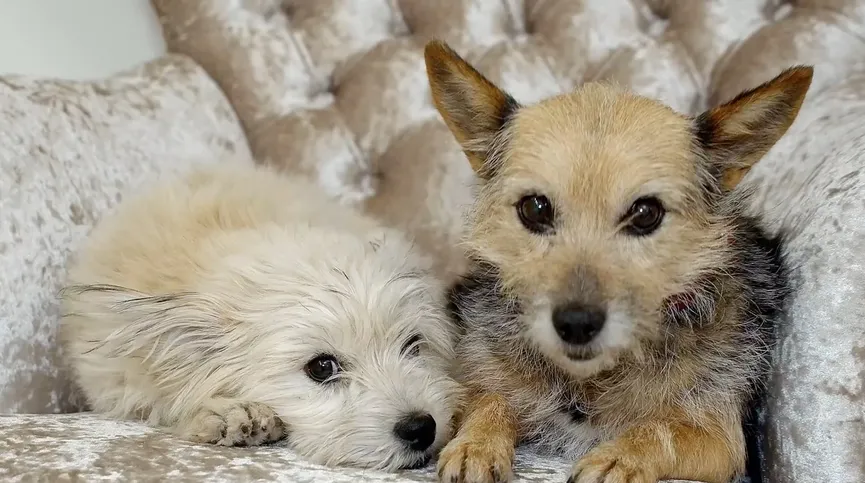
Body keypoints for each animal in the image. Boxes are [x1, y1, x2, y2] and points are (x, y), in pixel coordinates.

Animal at [426, 40, 808, 483]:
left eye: (645, 214)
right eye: (534, 209)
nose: (576, 325)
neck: (590, 380)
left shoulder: (721, 438)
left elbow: (658, 429)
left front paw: (621, 457)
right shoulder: (475, 384)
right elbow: (488, 400)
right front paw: (476, 443)